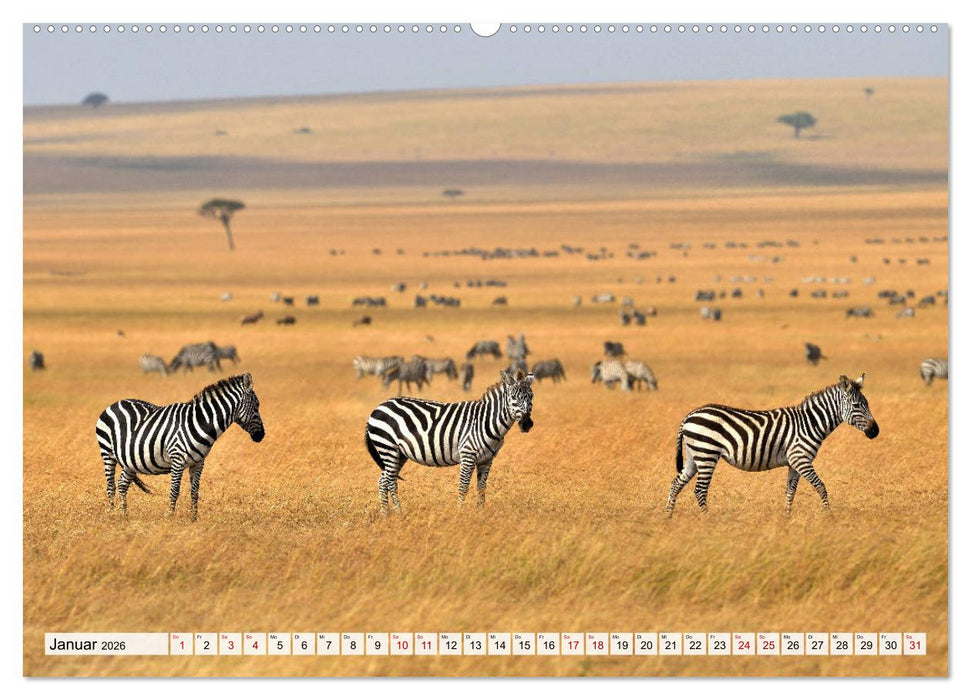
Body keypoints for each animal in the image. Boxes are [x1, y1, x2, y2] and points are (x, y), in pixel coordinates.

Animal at [95, 372, 265, 520]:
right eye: (257, 405)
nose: (261, 436)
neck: (201, 422)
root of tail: (115, 403)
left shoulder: (199, 462)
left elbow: (195, 491)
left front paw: (193, 519)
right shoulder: (178, 458)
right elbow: (175, 490)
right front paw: (170, 517)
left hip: (130, 460)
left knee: (122, 484)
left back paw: (124, 515)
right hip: (107, 453)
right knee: (111, 486)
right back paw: (112, 515)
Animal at [364, 369, 535, 514]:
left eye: (531, 397)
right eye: (513, 398)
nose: (526, 424)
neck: (485, 421)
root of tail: (379, 406)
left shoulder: (487, 459)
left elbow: (481, 487)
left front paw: (481, 513)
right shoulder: (468, 454)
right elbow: (463, 487)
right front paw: (459, 514)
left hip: (399, 454)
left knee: (383, 480)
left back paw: (386, 515)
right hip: (388, 448)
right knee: (391, 481)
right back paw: (399, 513)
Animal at [666, 374, 879, 517]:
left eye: (867, 403)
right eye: (857, 405)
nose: (875, 431)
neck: (810, 422)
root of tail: (689, 416)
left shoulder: (794, 463)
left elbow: (790, 492)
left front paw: (787, 518)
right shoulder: (801, 458)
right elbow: (821, 486)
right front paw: (829, 517)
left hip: (694, 456)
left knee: (676, 483)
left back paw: (667, 517)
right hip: (706, 453)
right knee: (700, 490)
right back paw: (708, 520)